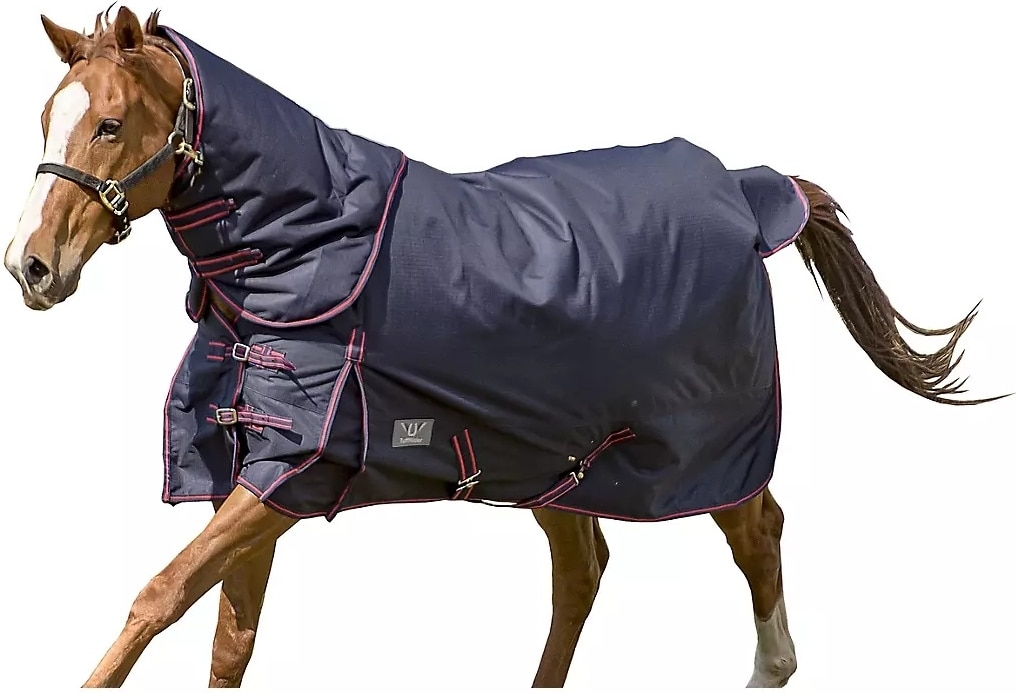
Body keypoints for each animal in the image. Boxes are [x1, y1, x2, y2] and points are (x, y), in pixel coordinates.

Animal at [5, 6, 1004, 689]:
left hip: (702, 448)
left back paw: (772, 668)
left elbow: (160, 596)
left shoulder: (291, 471)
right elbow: (227, 635)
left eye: (108, 123)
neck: (312, 241)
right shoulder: (261, 472)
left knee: (757, 534)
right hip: (557, 460)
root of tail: (751, 190)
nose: (31, 265)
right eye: (47, 121)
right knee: (582, 573)